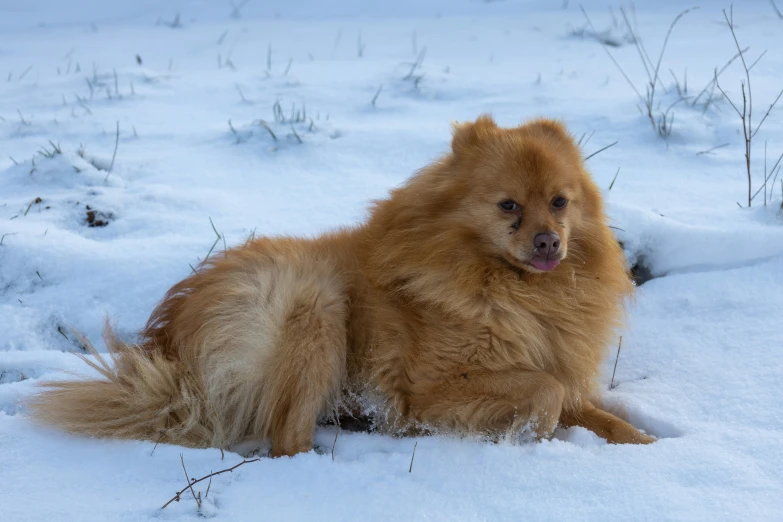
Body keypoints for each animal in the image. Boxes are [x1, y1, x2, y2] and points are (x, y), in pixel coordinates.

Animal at [29, 116, 656, 452]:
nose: (549, 242)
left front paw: (647, 447)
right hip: (316, 305)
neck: (513, 287)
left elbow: (596, 412)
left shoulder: (561, 369)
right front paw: (525, 436)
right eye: (509, 206)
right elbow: (544, 392)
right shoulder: (433, 389)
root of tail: (171, 352)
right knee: (285, 440)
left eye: (559, 202)